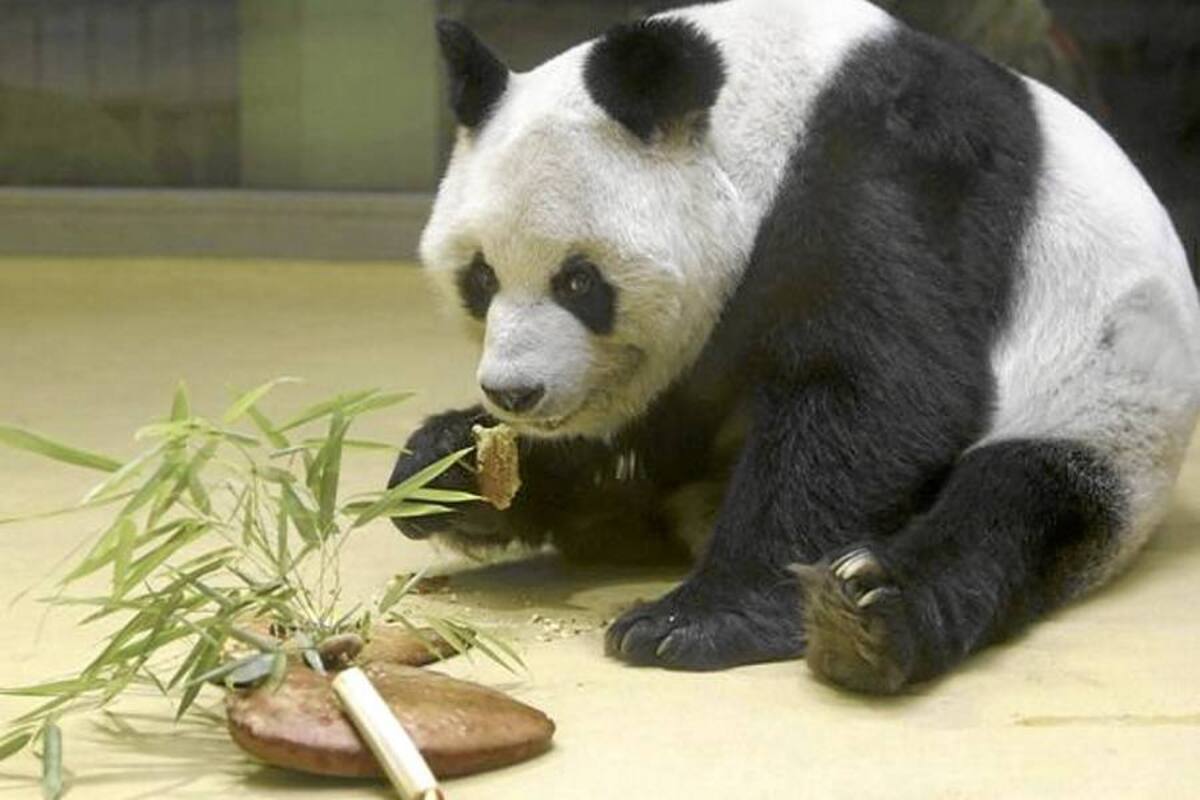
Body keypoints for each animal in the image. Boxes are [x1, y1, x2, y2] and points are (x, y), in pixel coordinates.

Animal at [389, 0, 1200, 694]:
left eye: (579, 282)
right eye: (480, 277)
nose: (514, 392)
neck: (770, 110)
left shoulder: (890, 171)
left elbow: (879, 387)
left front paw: (692, 622)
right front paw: (455, 463)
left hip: (1108, 408)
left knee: (1014, 506)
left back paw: (866, 616)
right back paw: (457, 478)